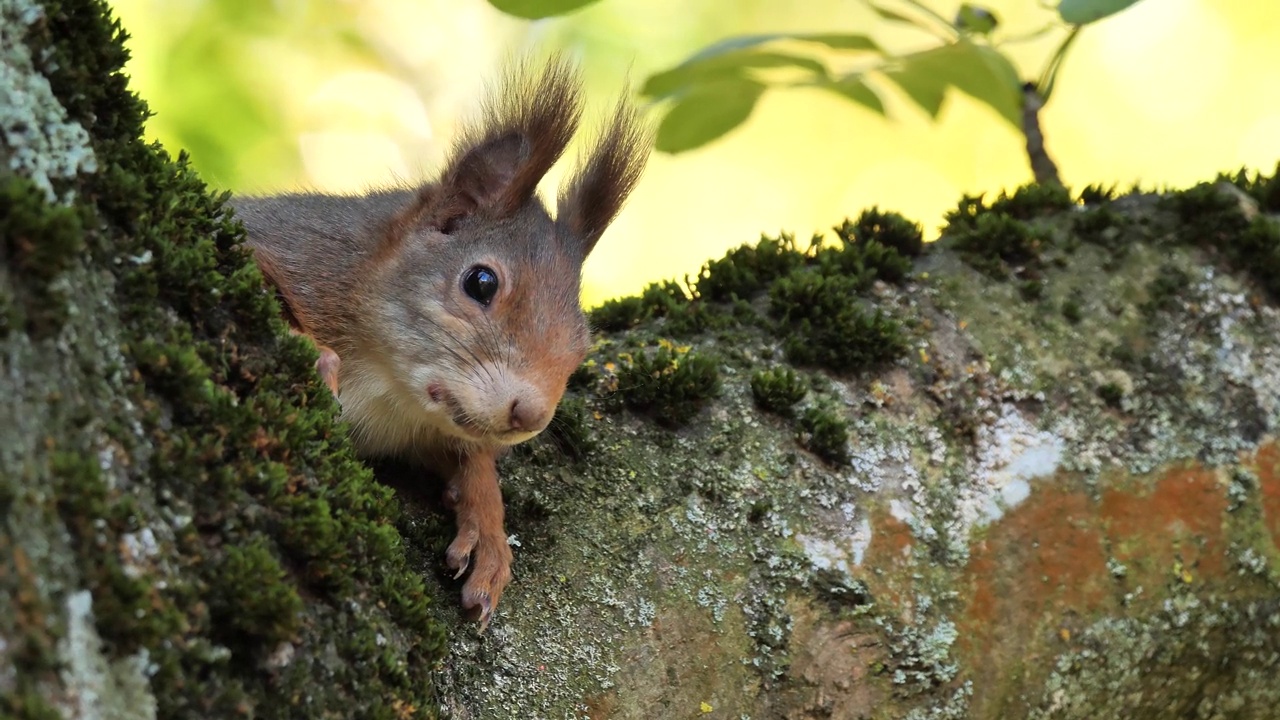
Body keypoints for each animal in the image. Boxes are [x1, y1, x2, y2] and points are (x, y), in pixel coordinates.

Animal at [231, 60, 650, 622]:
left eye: (583, 346)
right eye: (481, 282)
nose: (530, 416)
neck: (387, 387)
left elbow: (474, 458)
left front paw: (487, 526)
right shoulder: (294, 248)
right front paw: (315, 355)